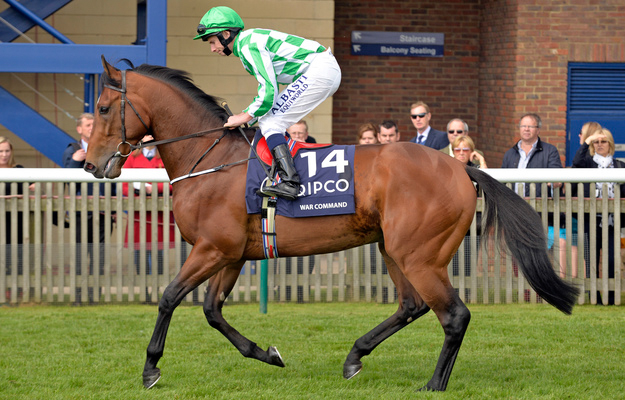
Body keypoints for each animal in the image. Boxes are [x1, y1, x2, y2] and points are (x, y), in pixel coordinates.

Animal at [84, 57, 580, 392]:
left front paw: (151, 368)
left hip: (419, 254)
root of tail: (461, 168)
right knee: (411, 305)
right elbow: (212, 310)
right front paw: (267, 353)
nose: (91, 165)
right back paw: (355, 357)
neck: (209, 160)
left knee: (453, 315)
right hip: (394, 249)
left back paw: (433, 384)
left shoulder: (211, 249)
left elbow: (169, 297)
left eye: (104, 107)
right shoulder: (231, 253)